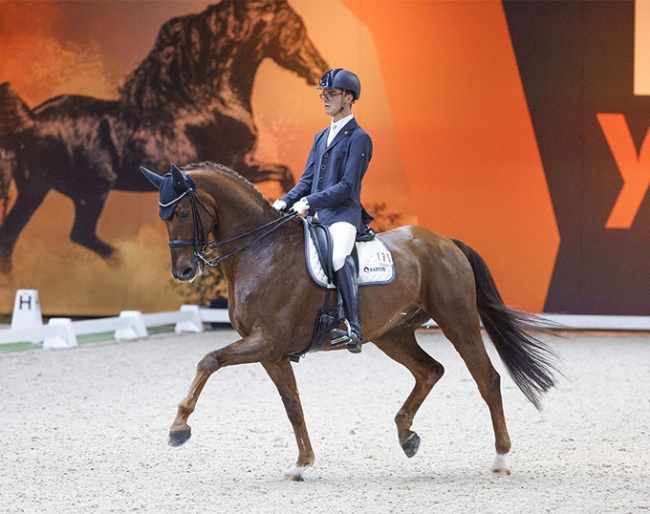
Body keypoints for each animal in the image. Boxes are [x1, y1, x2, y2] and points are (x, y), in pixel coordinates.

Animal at [0, 1, 324, 272]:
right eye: (294, 28)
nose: (318, 69)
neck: (206, 100)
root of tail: (31, 121)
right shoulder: (241, 163)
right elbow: (283, 172)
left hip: (35, 189)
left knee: (12, 235)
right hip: (91, 192)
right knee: (80, 233)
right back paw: (128, 265)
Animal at [140, 161, 556, 480]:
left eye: (181, 212)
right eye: (162, 215)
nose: (184, 271)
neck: (260, 251)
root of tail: (445, 241)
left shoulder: (267, 340)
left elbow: (208, 360)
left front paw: (179, 428)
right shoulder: (271, 352)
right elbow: (292, 404)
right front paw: (301, 463)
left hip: (458, 321)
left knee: (487, 379)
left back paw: (500, 457)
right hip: (392, 334)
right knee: (430, 371)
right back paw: (407, 436)